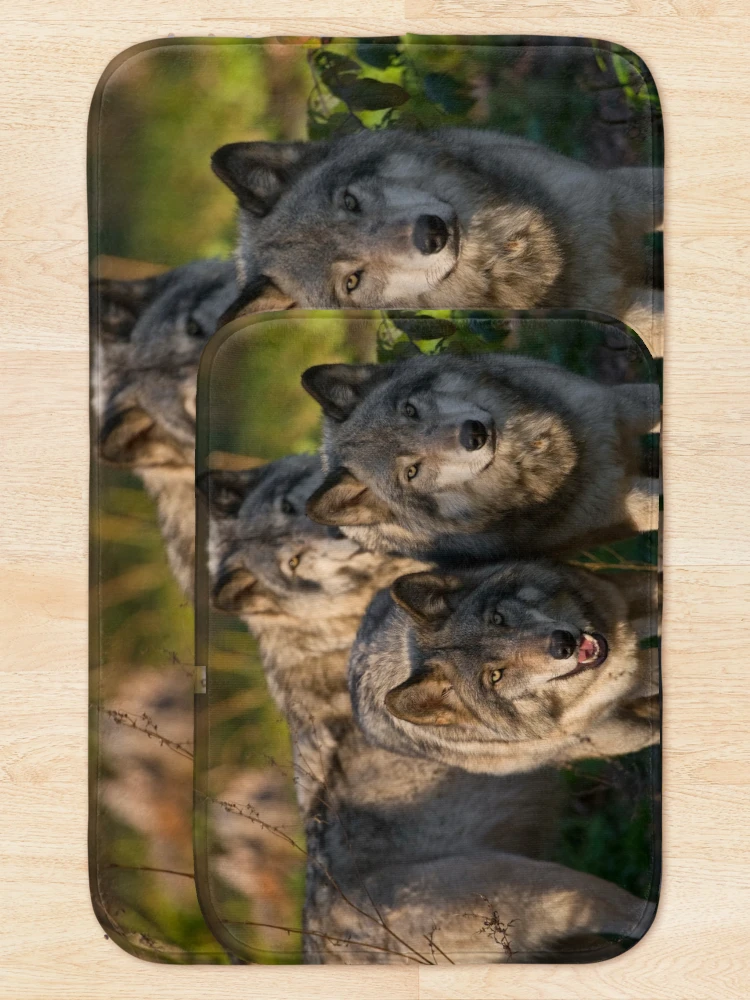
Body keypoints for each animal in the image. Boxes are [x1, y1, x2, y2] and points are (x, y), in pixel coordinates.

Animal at [211, 128, 663, 349]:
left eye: (350, 202)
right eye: (352, 281)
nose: (432, 234)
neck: (507, 249)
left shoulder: (620, 195)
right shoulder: (624, 313)